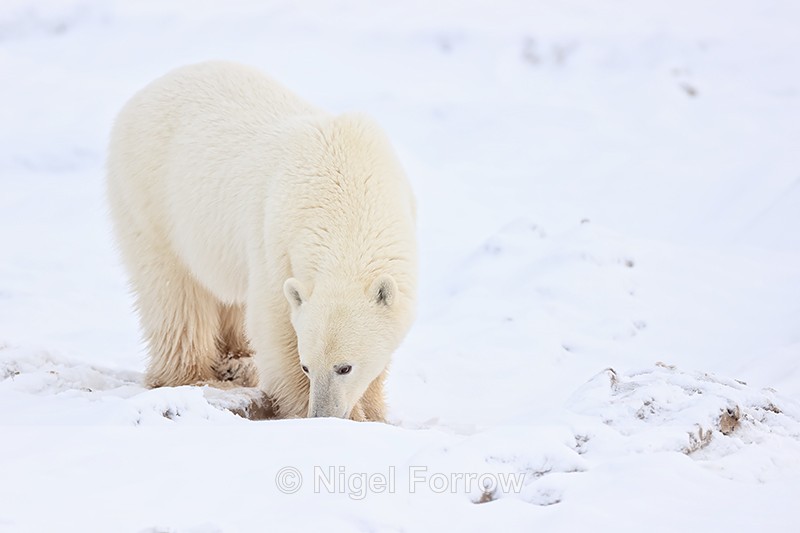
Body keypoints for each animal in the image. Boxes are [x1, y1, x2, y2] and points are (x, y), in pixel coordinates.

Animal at [106, 61, 417, 421]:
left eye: (344, 367)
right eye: (307, 366)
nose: (322, 413)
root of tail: (146, 91)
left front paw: (372, 411)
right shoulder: (277, 238)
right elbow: (275, 323)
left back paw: (238, 362)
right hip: (150, 196)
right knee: (174, 291)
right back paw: (191, 374)